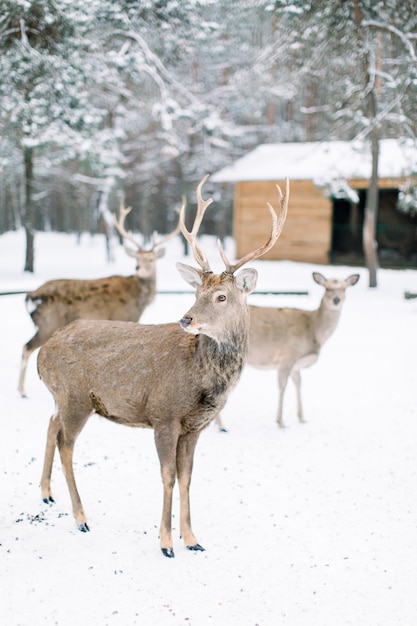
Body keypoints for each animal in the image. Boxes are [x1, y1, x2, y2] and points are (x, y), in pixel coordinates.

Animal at [17, 200, 179, 394]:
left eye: (151, 259)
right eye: (137, 258)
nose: (138, 268)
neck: (139, 299)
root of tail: (31, 296)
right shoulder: (125, 316)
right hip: (49, 322)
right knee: (26, 347)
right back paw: (22, 391)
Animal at [35, 176, 290, 556]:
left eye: (221, 296)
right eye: (197, 292)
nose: (186, 319)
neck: (202, 382)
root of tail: (43, 353)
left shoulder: (195, 427)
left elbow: (187, 477)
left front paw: (192, 539)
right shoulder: (163, 414)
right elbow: (168, 476)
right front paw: (166, 542)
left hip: (63, 398)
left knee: (52, 425)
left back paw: (46, 494)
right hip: (75, 397)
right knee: (67, 444)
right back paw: (81, 517)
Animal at [214, 270, 358, 432]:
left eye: (344, 288)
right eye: (327, 288)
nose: (336, 300)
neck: (313, 331)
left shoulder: (296, 365)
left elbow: (299, 383)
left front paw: (302, 417)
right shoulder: (287, 356)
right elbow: (282, 387)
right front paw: (281, 422)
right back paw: (221, 426)